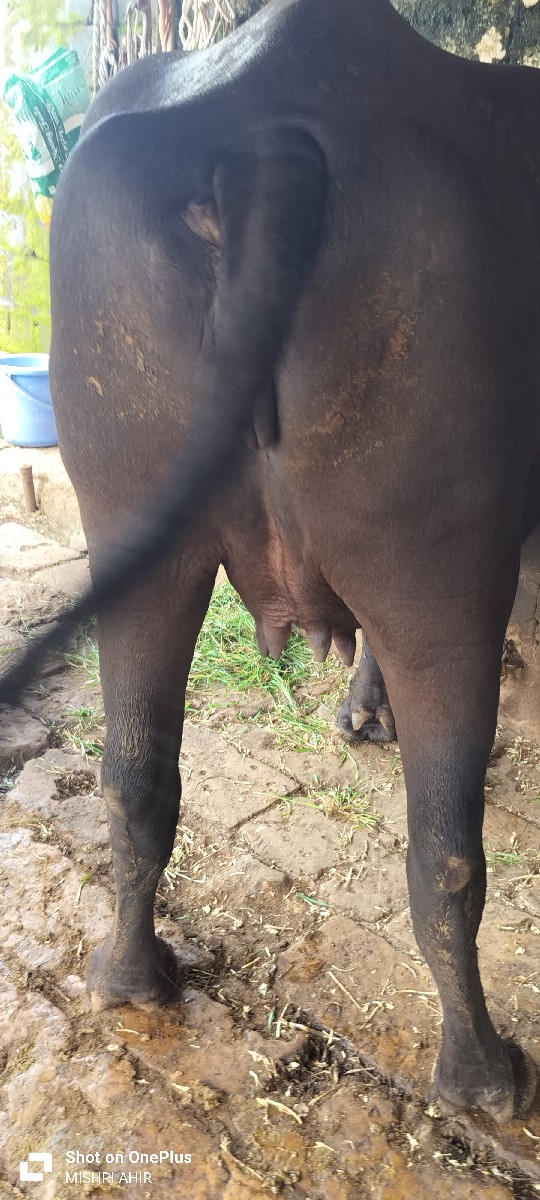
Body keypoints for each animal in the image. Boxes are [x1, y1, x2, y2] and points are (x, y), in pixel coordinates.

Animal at [2, 0, 540, 1123]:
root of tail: (272, 140)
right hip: (440, 572)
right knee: (446, 854)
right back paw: (482, 1076)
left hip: (137, 533)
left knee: (134, 778)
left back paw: (129, 977)